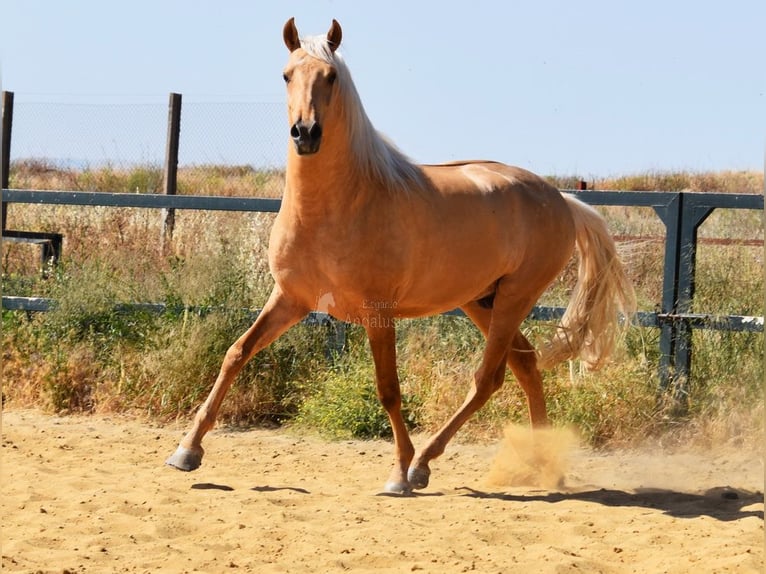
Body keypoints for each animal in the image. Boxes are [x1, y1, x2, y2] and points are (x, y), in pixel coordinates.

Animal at [166, 18, 636, 496]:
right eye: (286, 75)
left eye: (331, 76)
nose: (306, 133)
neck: (341, 204)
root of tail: (561, 199)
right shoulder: (290, 300)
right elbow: (236, 353)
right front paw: (187, 451)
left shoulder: (378, 312)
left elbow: (388, 388)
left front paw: (398, 473)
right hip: (481, 300)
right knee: (525, 363)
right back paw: (545, 467)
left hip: (514, 298)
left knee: (488, 378)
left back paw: (424, 465)